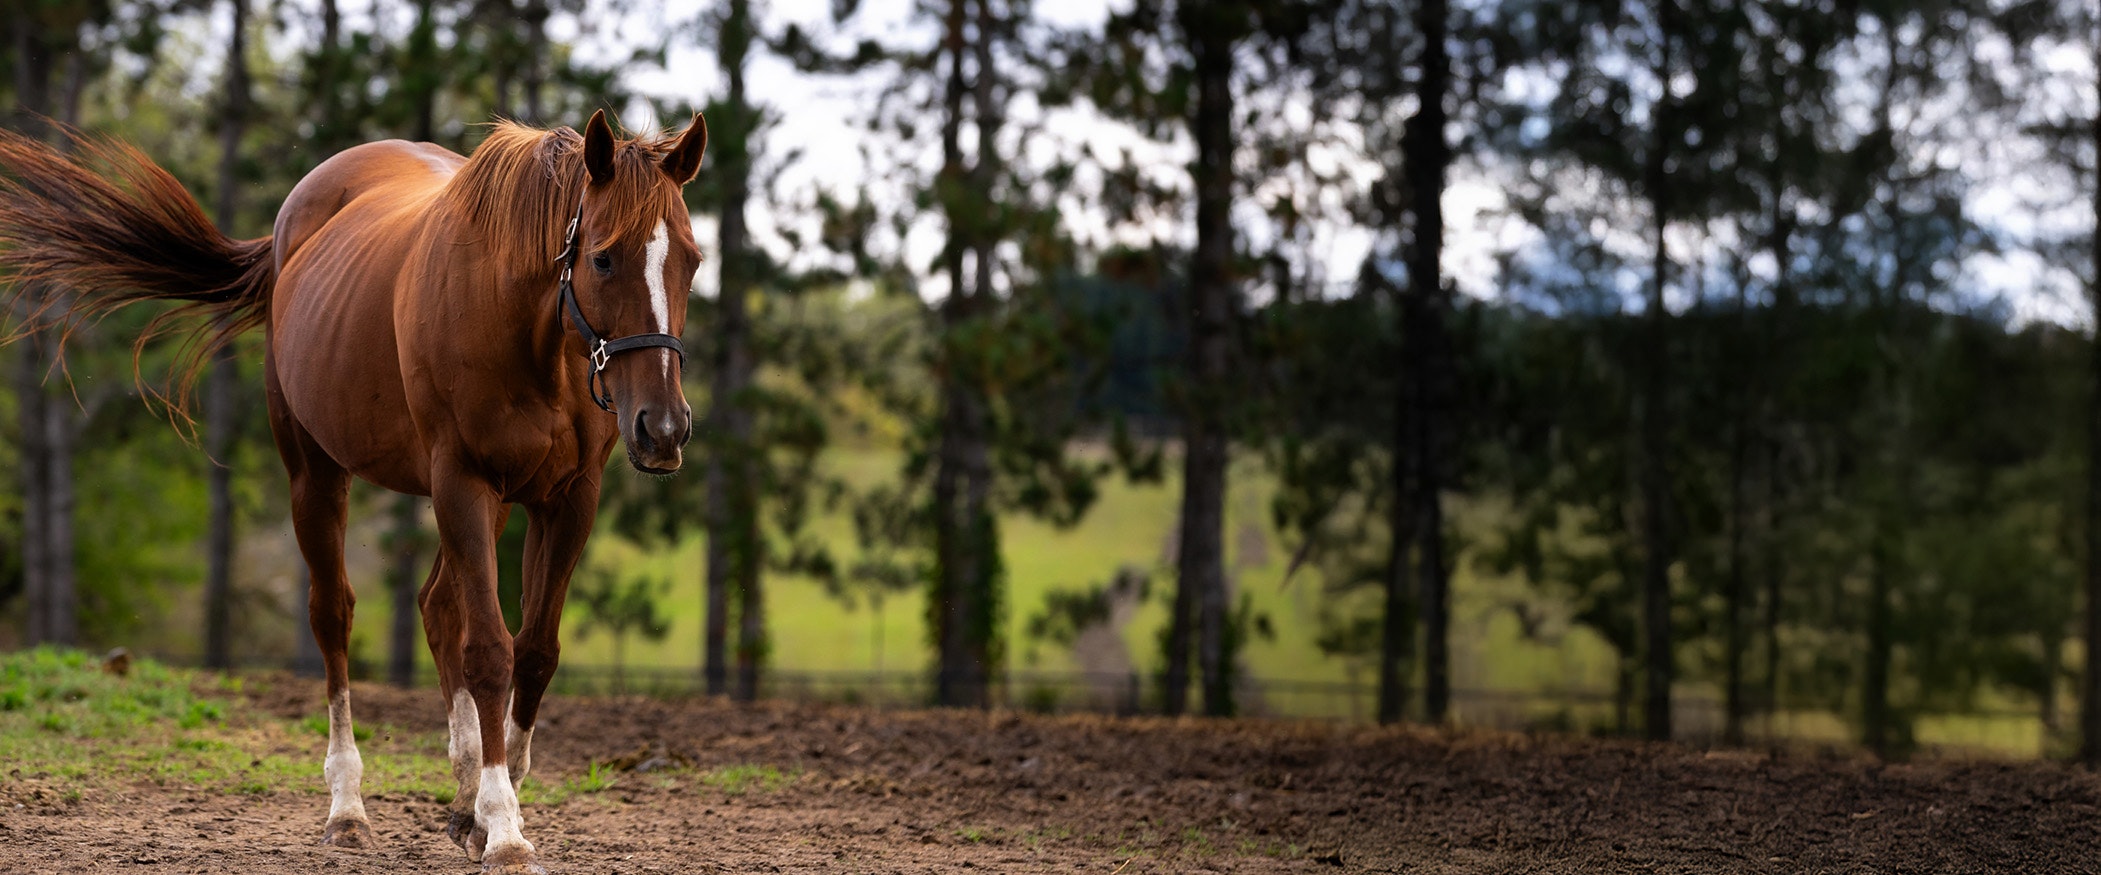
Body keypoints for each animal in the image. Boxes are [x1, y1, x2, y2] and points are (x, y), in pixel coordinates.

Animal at [0, 109, 707, 874]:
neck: (525, 324)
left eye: (693, 260)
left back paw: (460, 798)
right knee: (334, 617)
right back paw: (348, 809)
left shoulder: (569, 497)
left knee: (437, 607)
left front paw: (496, 804)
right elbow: (490, 651)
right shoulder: (462, 480)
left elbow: (536, 651)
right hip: (318, 474)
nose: (663, 428)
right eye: (603, 258)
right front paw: (505, 828)